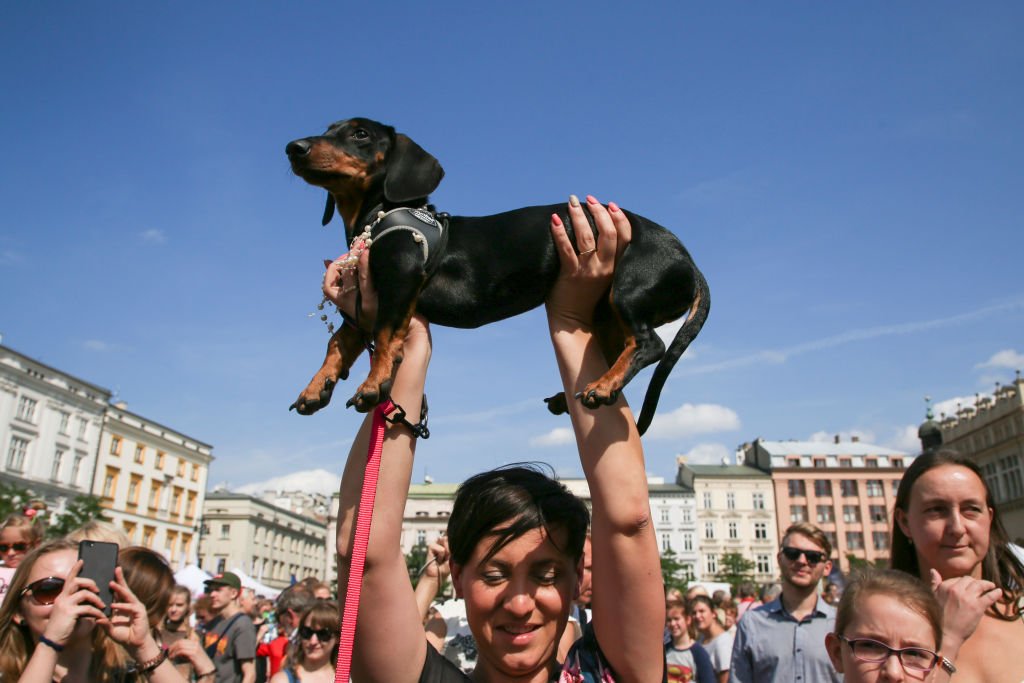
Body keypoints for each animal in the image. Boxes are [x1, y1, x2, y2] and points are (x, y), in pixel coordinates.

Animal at [284, 118, 708, 436]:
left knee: (649, 343)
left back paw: (603, 386)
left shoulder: (398, 282)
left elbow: (387, 338)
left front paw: (372, 384)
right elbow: (338, 342)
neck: (379, 217)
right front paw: (315, 387)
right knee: (619, 347)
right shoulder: (362, 304)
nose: (293, 147)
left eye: (360, 134)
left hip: (629, 291)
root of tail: (690, 263)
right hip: (606, 312)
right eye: (329, 128)